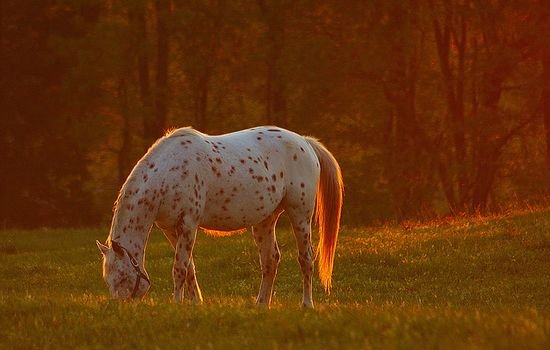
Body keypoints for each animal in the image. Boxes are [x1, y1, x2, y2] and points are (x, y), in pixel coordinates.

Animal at [97, 125, 342, 306]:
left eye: (122, 276)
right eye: (108, 280)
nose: (122, 306)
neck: (168, 172)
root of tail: (305, 142)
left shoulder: (188, 223)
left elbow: (179, 268)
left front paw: (177, 304)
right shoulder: (170, 229)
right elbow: (189, 267)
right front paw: (195, 304)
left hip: (300, 214)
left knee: (306, 258)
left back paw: (307, 304)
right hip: (264, 221)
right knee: (270, 260)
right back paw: (261, 304)